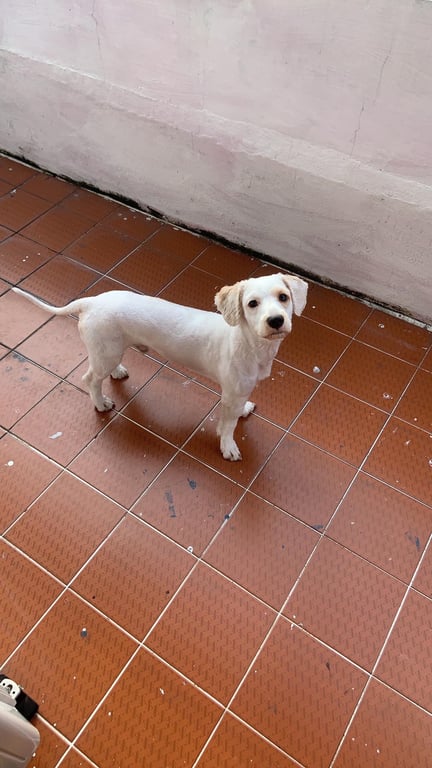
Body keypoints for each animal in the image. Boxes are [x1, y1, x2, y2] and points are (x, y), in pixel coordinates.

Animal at [13, 272, 307, 460]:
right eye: (252, 304)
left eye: (283, 297)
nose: (276, 320)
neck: (249, 343)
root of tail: (92, 301)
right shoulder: (231, 393)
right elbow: (228, 424)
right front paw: (227, 446)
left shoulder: (241, 390)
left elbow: (238, 410)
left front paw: (244, 410)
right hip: (104, 353)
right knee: (90, 379)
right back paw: (100, 403)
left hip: (110, 350)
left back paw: (118, 372)